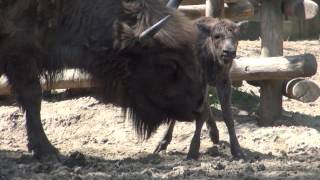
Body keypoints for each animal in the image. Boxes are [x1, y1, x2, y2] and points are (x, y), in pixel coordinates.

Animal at [154, 17, 244, 159]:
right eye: (216, 36)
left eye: (236, 36)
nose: (229, 52)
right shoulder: (199, 82)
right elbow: (202, 114)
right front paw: (193, 150)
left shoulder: (224, 81)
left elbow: (227, 115)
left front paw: (237, 150)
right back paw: (162, 143)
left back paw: (214, 134)